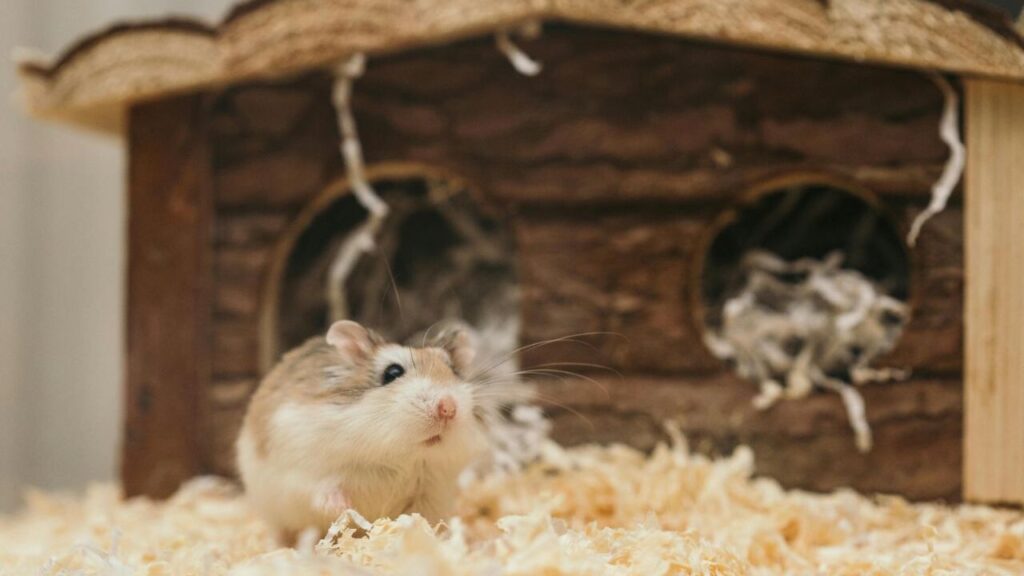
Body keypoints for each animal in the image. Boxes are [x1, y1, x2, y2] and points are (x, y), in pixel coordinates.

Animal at [236, 320, 489, 539]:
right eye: (393, 373)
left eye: (453, 371)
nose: (448, 408)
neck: (399, 457)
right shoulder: (304, 472)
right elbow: (323, 491)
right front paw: (345, 509)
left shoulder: (431, 492)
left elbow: (421, 518)